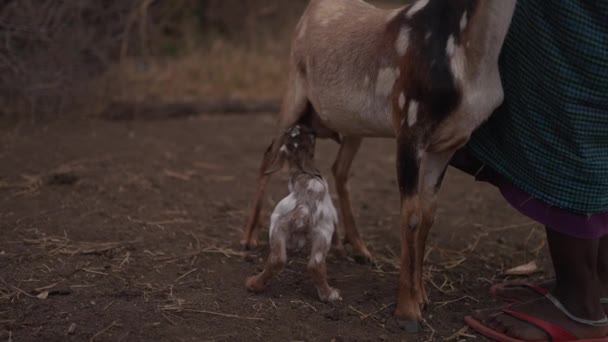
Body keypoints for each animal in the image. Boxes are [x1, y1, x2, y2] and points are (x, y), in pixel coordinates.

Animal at [240, 0, 516, 328]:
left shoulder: (446, 146)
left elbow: (428, 214)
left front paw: (423, 296)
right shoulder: (409, 127)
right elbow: (410, 215)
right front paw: (408, 312)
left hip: (353, 124)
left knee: (340, 168)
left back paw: (359, 249)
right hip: (294, 90)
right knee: (269, 154)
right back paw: (248, 238)